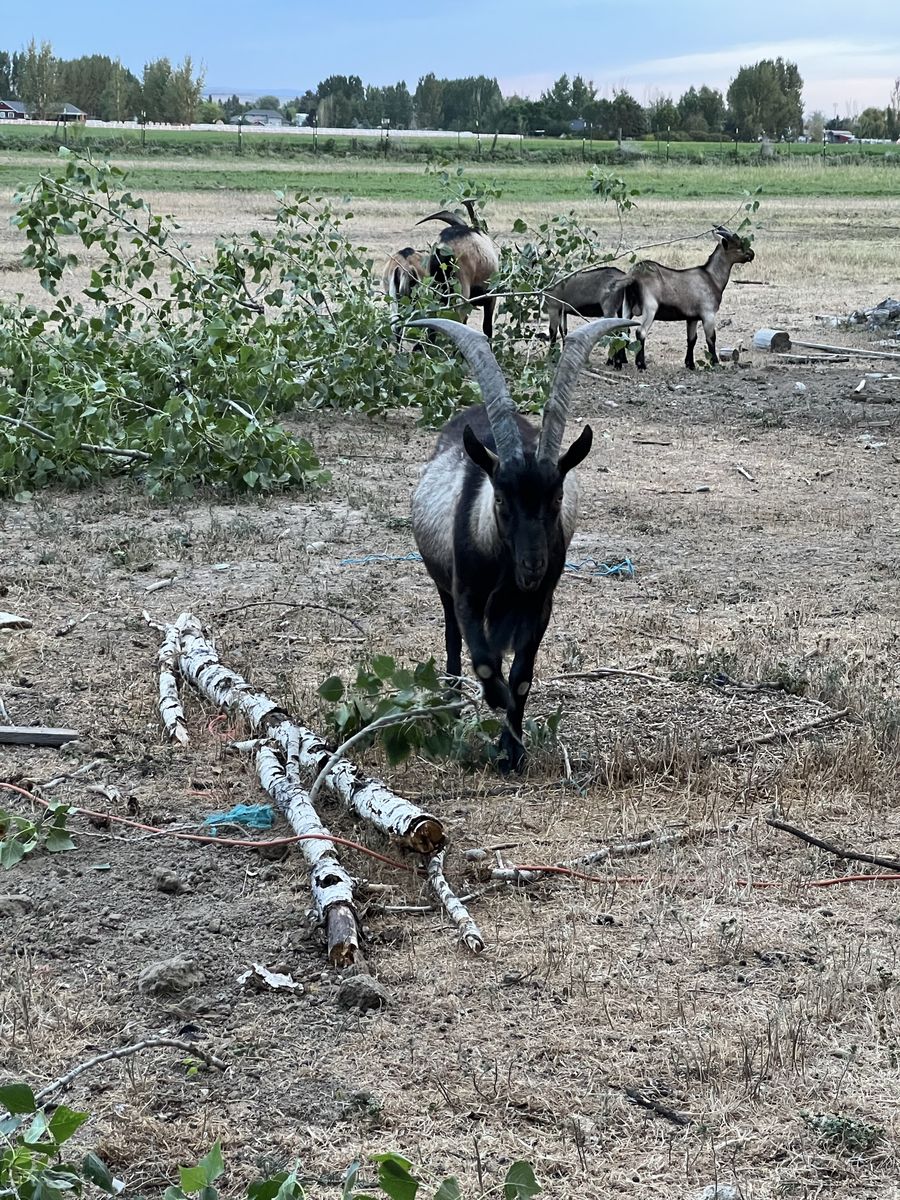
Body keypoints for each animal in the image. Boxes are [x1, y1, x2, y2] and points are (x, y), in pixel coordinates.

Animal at [410, 315, 635, 772]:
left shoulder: (540, 605)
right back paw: (451, 702)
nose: (533, 565)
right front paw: (494, 700)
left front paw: (511, 751)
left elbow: (522, 677)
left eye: (557, 498)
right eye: (500, 499)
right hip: (443, 586)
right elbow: (484, 661)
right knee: (452, 640)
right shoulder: (467, 594)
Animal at [624, 226, 754, 370]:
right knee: (640, 332)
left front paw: (690, 364)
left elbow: (692, 339)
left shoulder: (692, 318)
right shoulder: (708, 313)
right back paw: (641, 364)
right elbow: (711, 338)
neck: (711, 277)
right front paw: (715, 363)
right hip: (650, 307)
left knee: (622, 329)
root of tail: (634, 275)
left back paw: (619, 361)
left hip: (626, 305)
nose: (752, 253)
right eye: (739, 245)